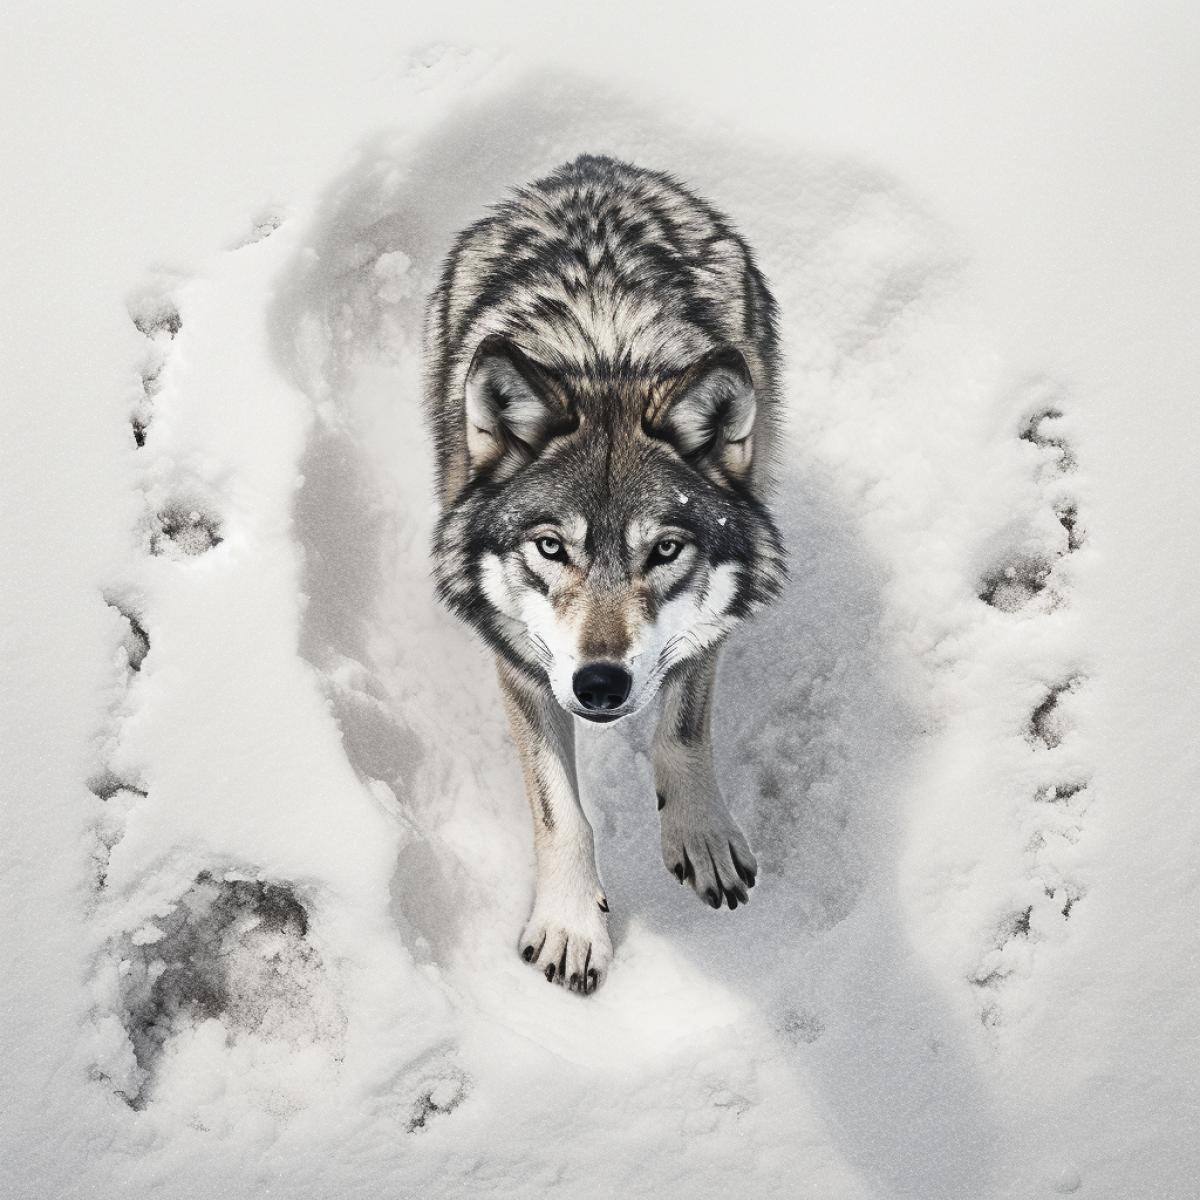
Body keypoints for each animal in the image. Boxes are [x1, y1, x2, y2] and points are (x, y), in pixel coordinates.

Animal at [425, 154, 785, 994]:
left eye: (665, 551)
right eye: (552, 547)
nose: (599, 684)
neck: (607, 358)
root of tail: (594, 168)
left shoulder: (707, 621)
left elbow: (683, 728)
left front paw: (700, 831)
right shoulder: (520, 657)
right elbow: (560, 810)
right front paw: (569, 925)